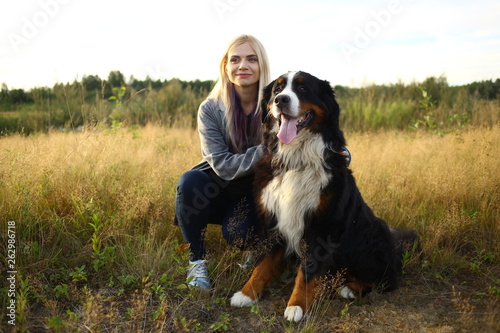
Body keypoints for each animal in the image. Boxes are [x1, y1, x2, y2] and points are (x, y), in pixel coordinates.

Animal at [230, 70, 418, 322]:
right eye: (277, 90)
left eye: (302, 89)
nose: (281, 100)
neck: (296, 159)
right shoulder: (272, 219)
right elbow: (262, 263)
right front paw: (247, 293)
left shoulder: (322, 225)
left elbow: (307, 272)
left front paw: (297, 306)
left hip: (370, 236)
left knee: (387, 280)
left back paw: (351, 288)